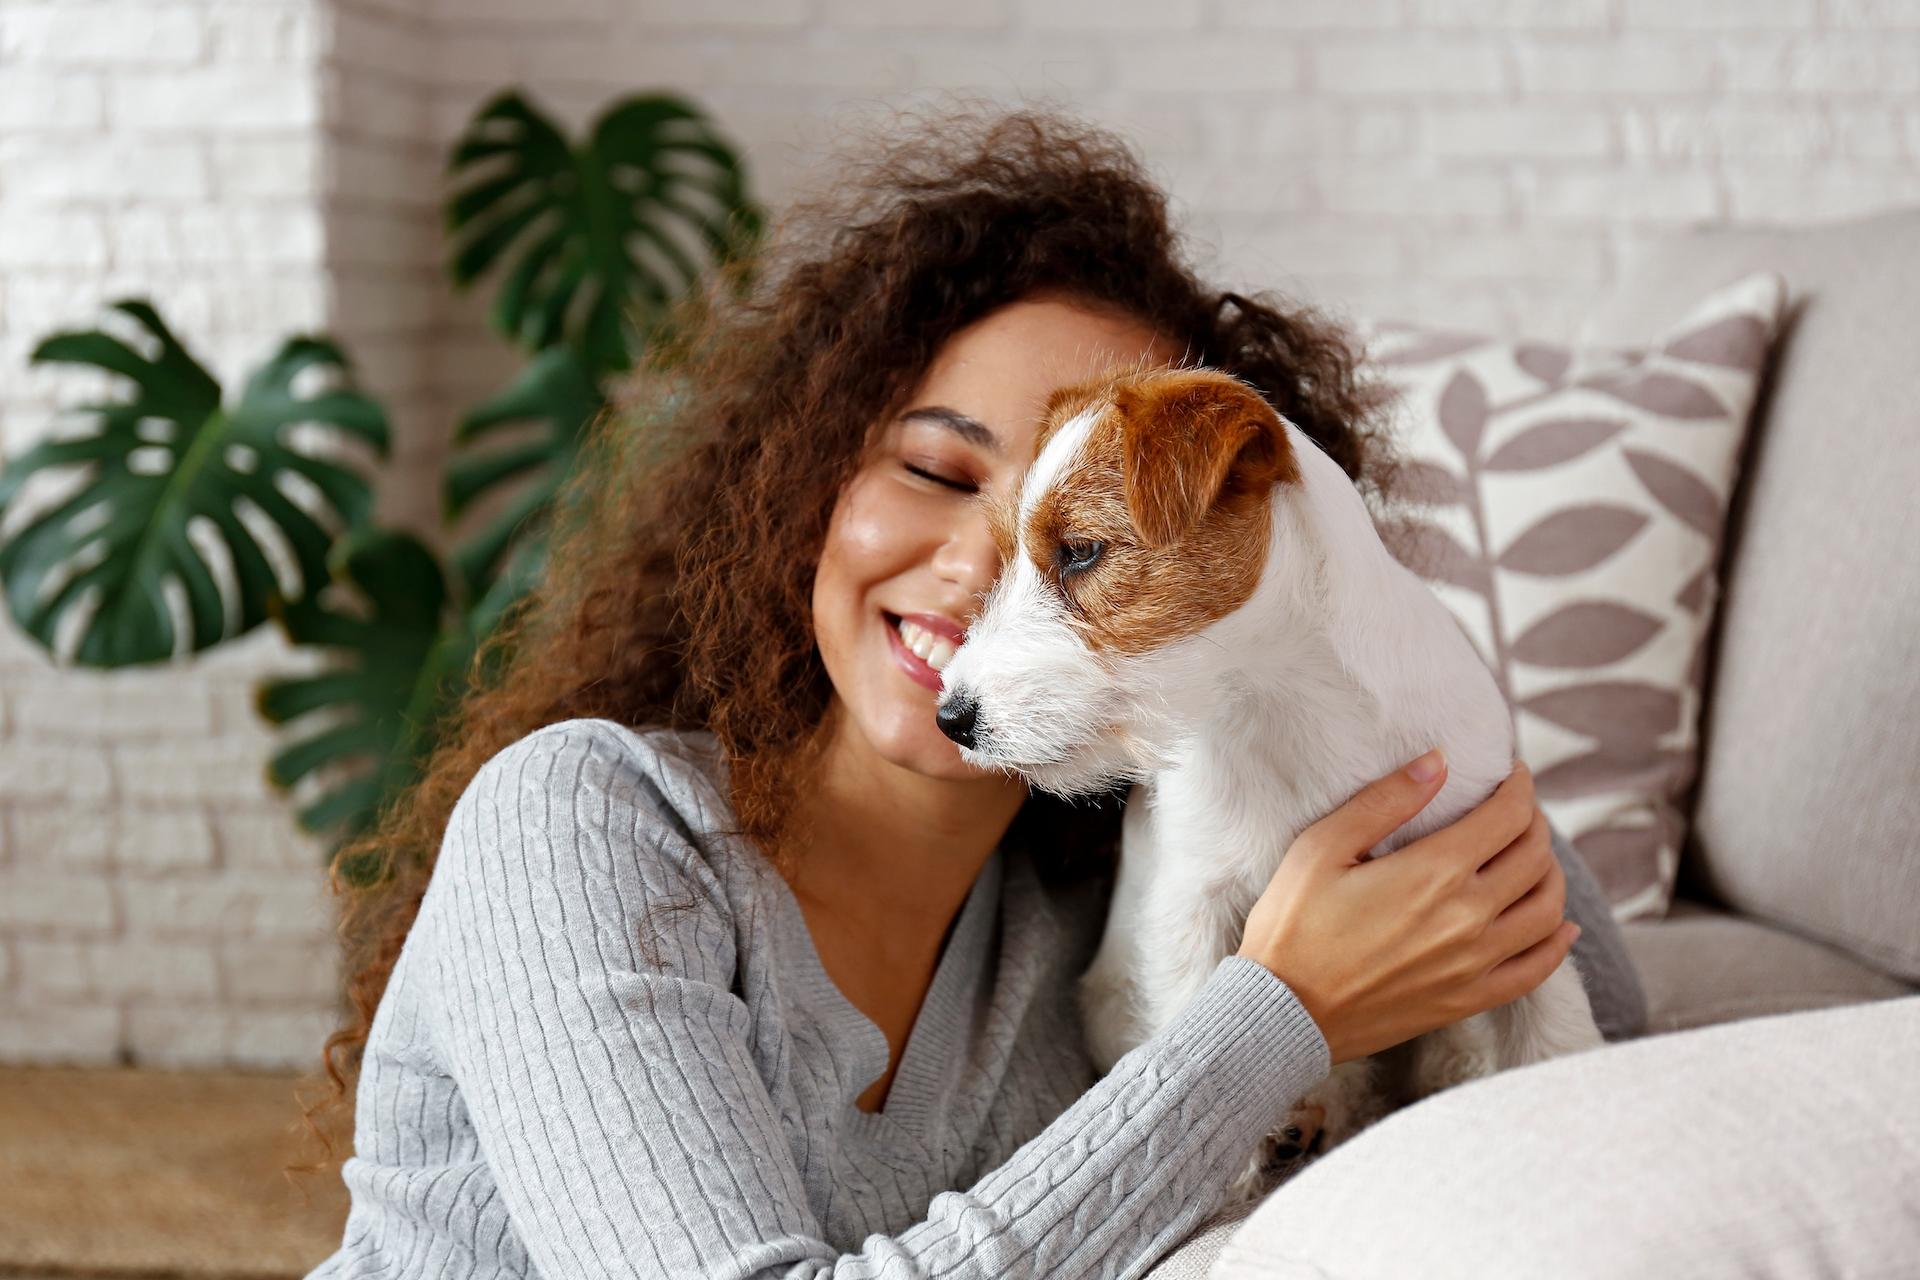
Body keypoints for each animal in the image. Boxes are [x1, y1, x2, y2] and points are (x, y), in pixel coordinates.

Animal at [933, 362, 1605, 1205]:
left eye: (1080, 551)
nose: (951, 716)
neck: (1281, 702)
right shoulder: (1194, 902)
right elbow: (1200, 1031)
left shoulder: (1507, 873)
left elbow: (1550, 1021)